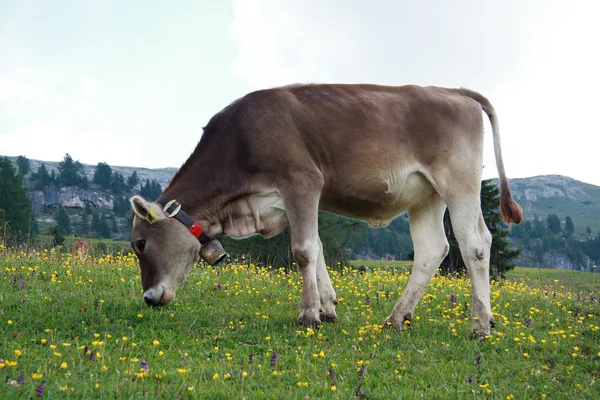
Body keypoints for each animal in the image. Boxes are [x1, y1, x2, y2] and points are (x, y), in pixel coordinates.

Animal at [130, 84, 520, 338]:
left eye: (140, 244)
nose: (148, 298)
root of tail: (455, 91)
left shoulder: (302, 181)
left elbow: (303, 251)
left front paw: (308, 315)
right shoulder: (289, 200)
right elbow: (316, 249)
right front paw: (327, 308)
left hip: (458, 183)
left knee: (475, 244)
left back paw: (480, 324)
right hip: (427, 195)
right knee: (432, 250)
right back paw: (397, 317)